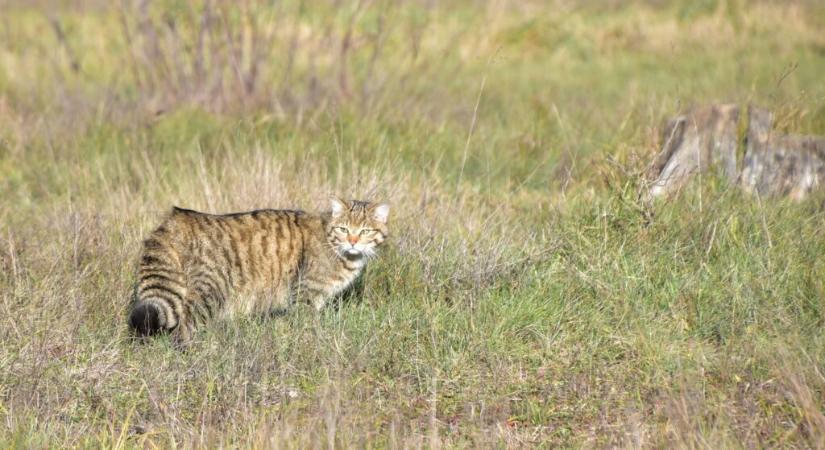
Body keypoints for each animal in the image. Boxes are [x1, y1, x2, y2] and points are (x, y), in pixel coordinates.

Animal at [126, 196, 390, 342]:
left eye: (365, 231)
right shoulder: (306, 297)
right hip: (208, 293)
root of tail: (177, 219)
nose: (353, 241)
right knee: (183, 332)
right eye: (344, 229)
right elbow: (307, 328)